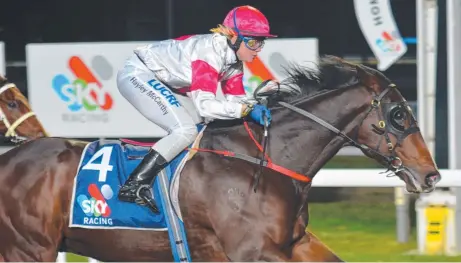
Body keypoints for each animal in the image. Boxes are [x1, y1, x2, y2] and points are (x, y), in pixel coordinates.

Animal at [0, 55, 438, 262]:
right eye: (399, 116)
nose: (431, 175)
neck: (264, 160)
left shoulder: (295, 244)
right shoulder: (251, 251)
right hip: (29, 248)